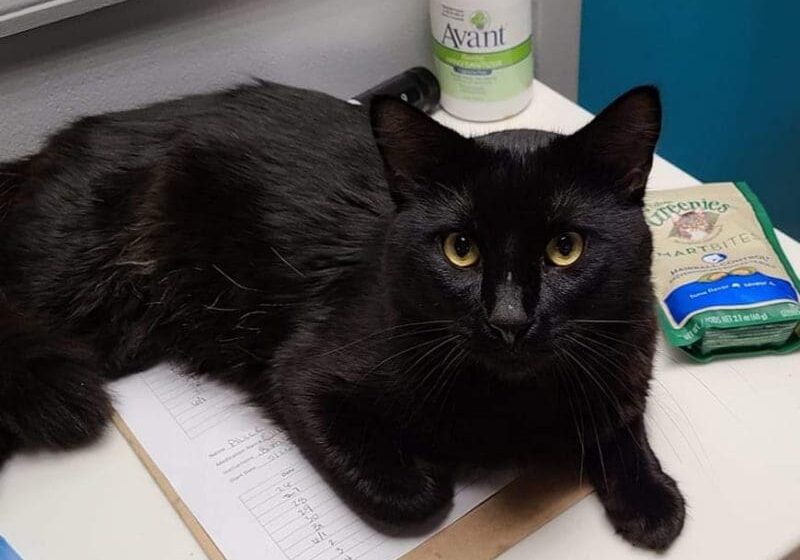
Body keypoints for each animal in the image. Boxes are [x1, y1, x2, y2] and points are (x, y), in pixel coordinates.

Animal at [0, 81, 688, 548]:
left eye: (565, 248)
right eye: (459, 249)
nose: (509, 320)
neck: (516, 399)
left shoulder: (626, 354)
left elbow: (621, 425)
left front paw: (651, 497)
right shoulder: (304, 374)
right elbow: (413, 499)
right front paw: (438, 467)